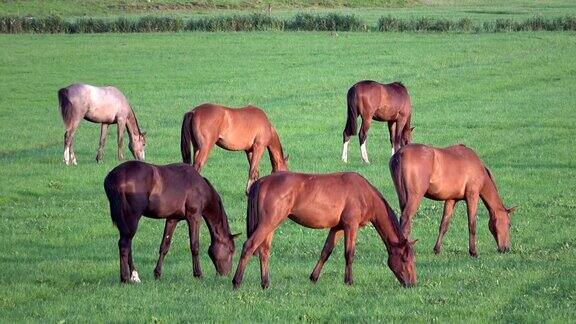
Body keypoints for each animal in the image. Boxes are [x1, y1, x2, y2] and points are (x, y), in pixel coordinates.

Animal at [104, 161, 238, 282]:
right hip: (132, 217)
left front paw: (157, 274)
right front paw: (198, 274)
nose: (226, 274)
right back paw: (126, 277)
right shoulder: (194, 217)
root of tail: (113, 177)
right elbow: (194, 246)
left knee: (127, 244)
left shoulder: (172, 219)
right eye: (231, 250)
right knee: (125, 244)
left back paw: (134, 275)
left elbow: (165, 246)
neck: (199, 187)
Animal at [232, 171, 416, 290]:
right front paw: (349, 281)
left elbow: (326, 251)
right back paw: (236, 282)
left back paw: (265, 283)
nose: (412, 284)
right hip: (268, 223)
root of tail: (262, 181)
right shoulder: (351, 225)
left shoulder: (337, 228)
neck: (364, 194)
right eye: (405, 258)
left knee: (264, 251)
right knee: (249, 246)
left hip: (271, 225)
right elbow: (350, 253)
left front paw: (314, 277)